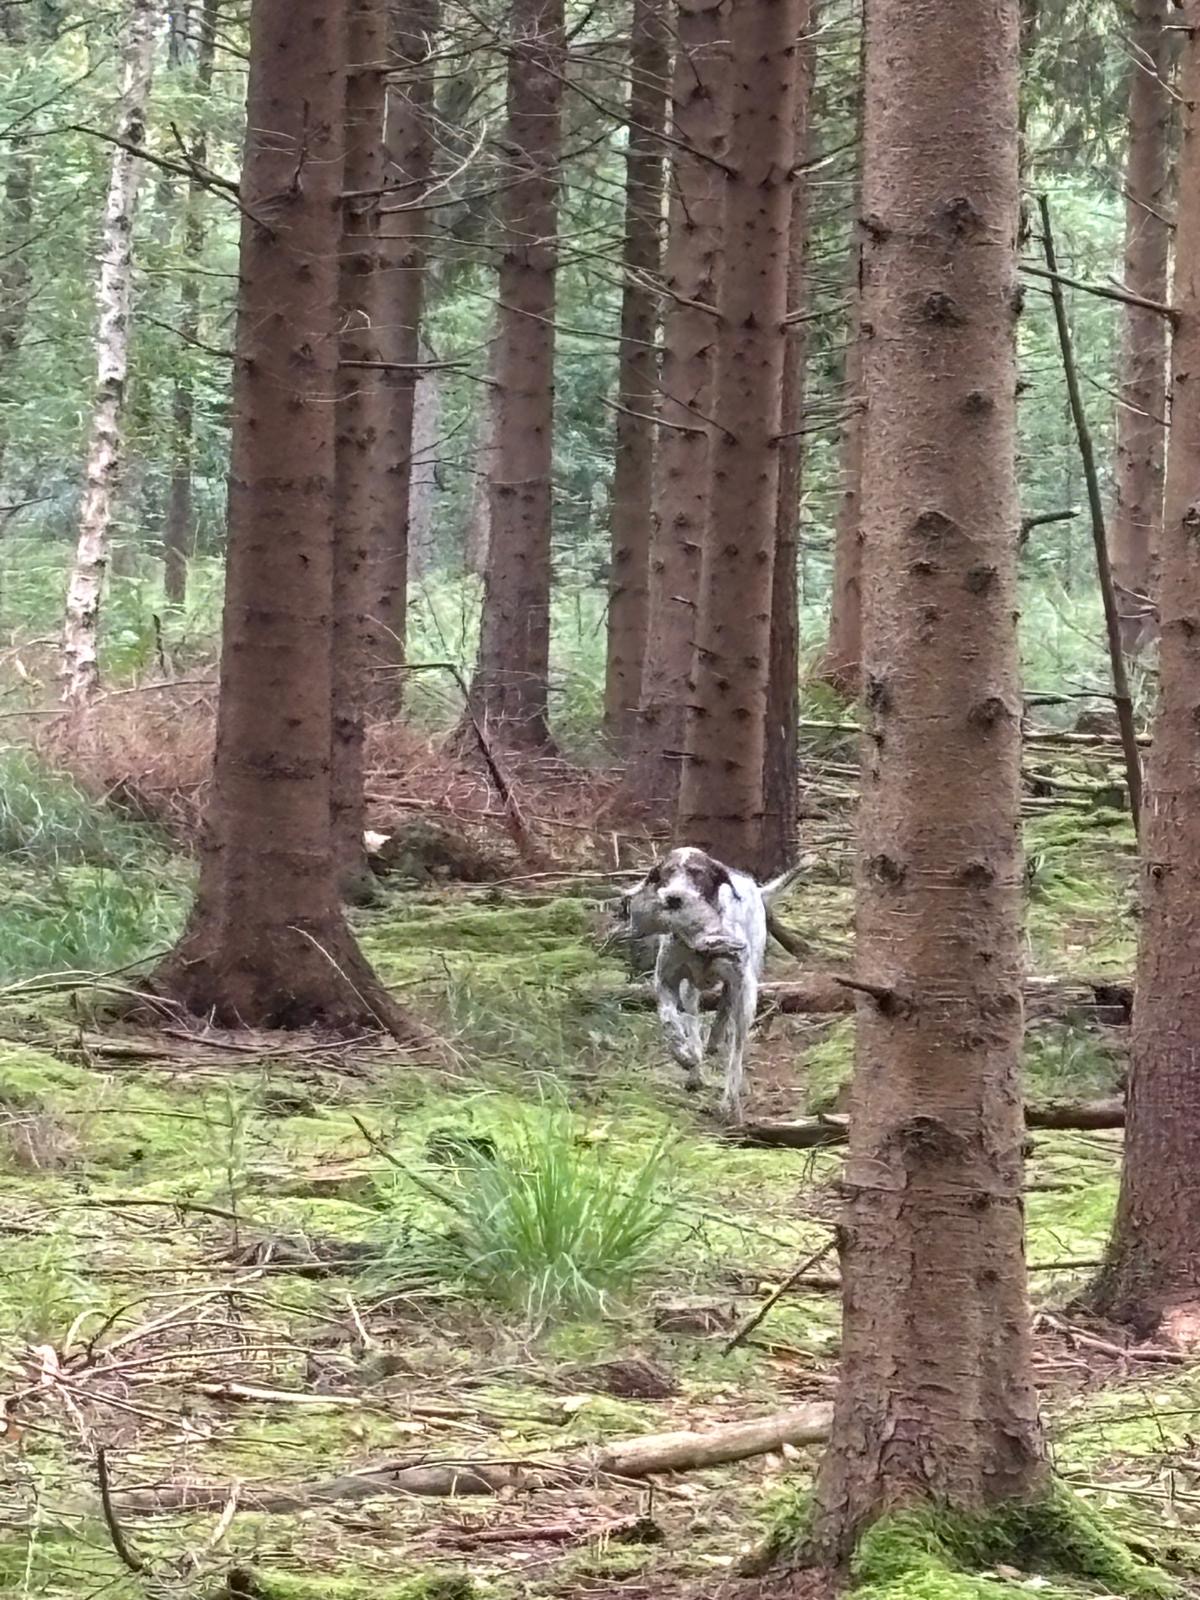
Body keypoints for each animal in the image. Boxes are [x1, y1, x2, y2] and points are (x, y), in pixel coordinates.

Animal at [620, 846, 802, 1122]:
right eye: (668, 872)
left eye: (697, 873)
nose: (674, 898)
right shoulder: (666, 983)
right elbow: (669, 1023)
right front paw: (682, 1054)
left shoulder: (741, 986)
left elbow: (733, 1051)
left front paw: (730, 1099)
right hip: (691, 993)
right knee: (696, 1027)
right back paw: (697, 1065)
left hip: (745, 995)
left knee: (733, 1039)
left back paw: (729, 1092)